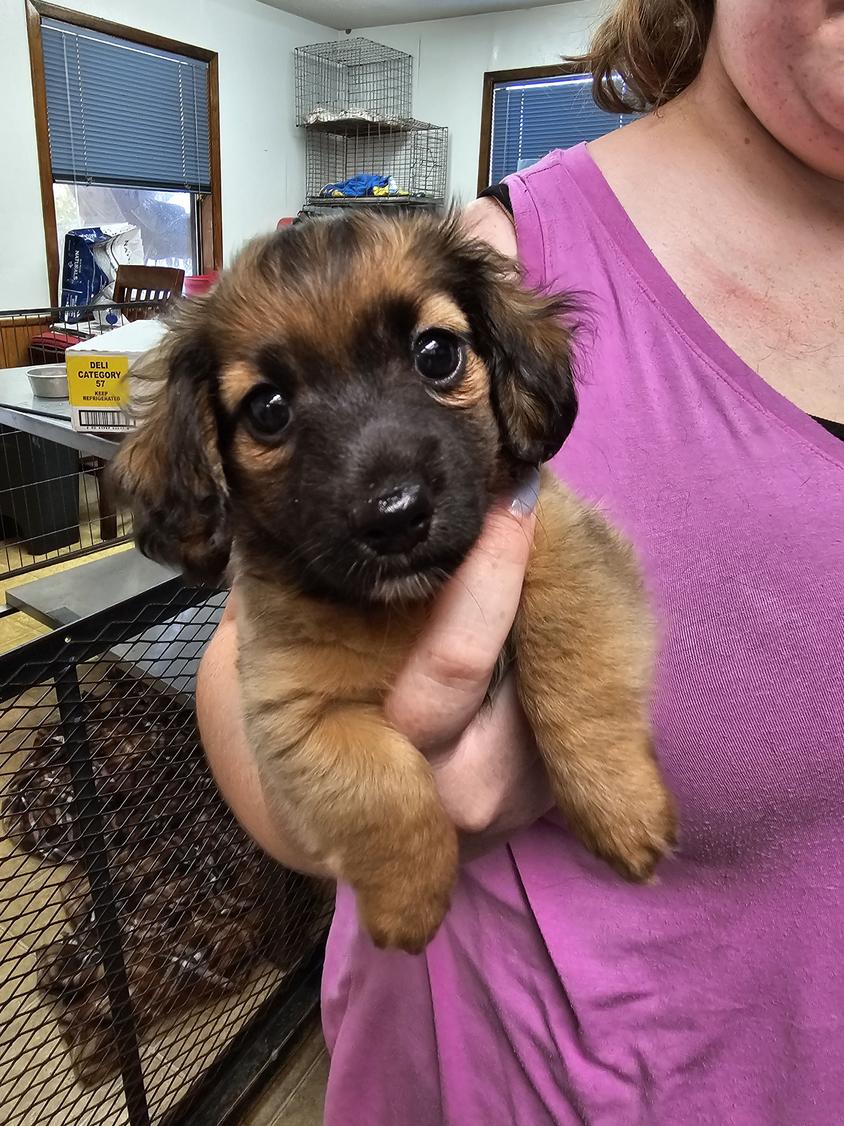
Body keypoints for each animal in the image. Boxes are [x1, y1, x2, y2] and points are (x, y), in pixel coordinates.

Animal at [112, 209, 679, 950]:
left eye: (435, 353)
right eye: (267, 409)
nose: (395, 516)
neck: (411, 604)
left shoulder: (565, 545)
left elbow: (573, 672)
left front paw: (621, 806)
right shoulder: (293, 710)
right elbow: (382, 783)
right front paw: (407, 903)